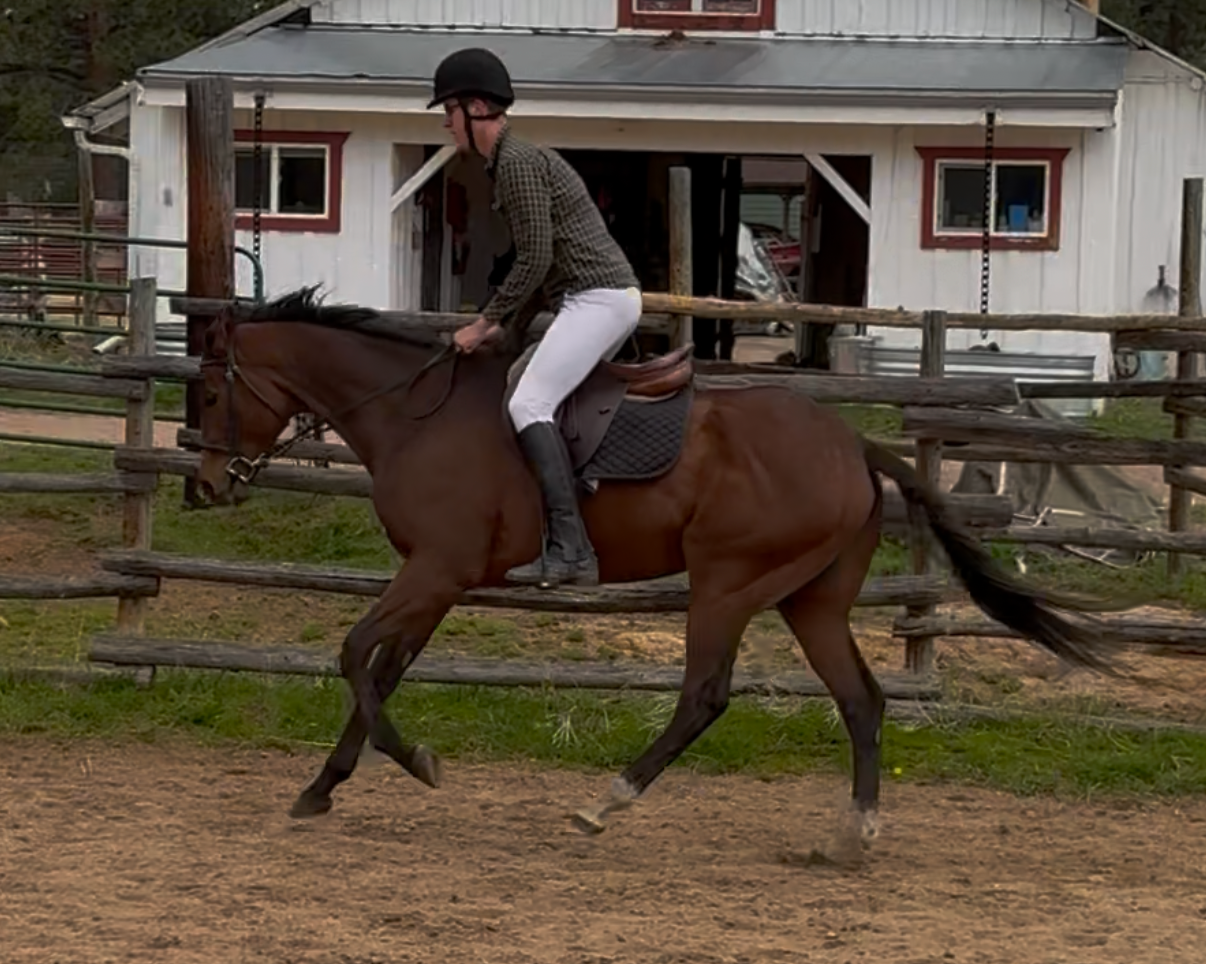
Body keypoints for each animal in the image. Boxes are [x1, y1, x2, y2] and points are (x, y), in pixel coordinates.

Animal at [193, 286, 1120, 846]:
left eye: (209, 394)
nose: (204, 485)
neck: (413, 413)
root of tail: (853, 444)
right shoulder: (437, 581)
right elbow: (381, 671)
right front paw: (324, 785)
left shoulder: (436, 571)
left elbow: (355, 656)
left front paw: (415, 762)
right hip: (811, 600)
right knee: (861, 699)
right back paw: (853, 836)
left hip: (726, 584)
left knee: (705, 697)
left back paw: (605, 802)